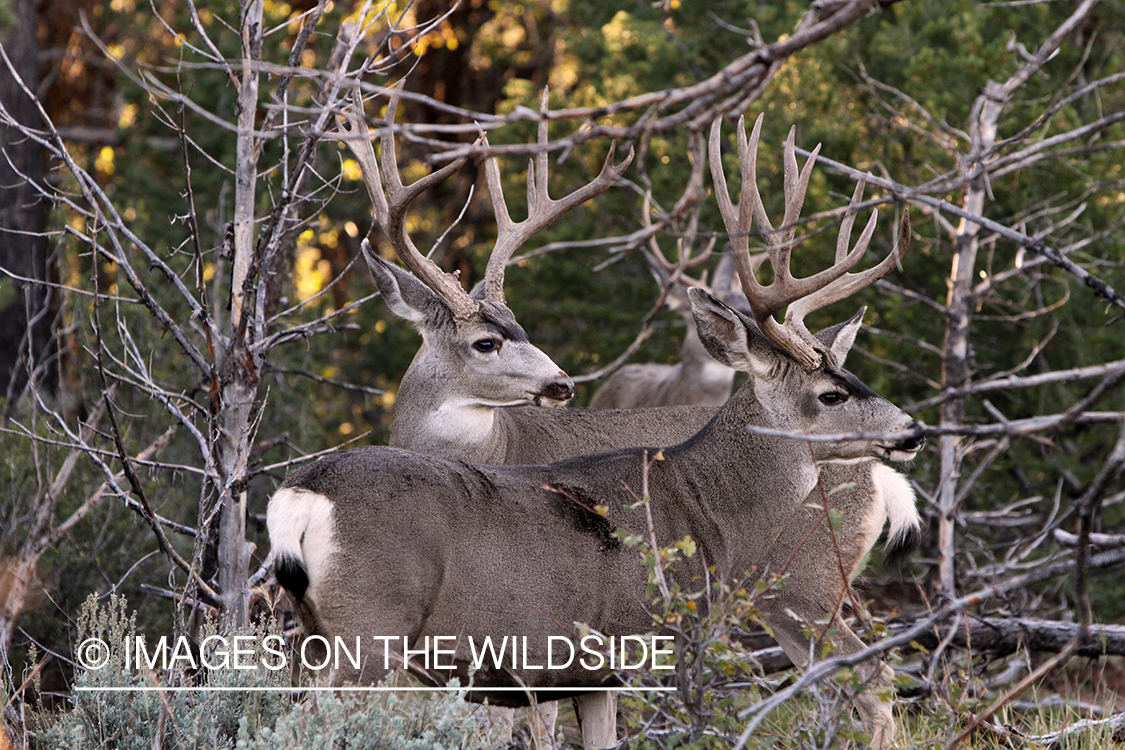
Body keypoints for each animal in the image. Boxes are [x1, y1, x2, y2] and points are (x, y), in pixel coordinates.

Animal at [272, 107, 923, 750]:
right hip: (371, 625)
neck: (704, 503)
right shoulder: (635, 640)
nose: (913, 429)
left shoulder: (583, 671)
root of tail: (303, 493)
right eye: (831, 394)